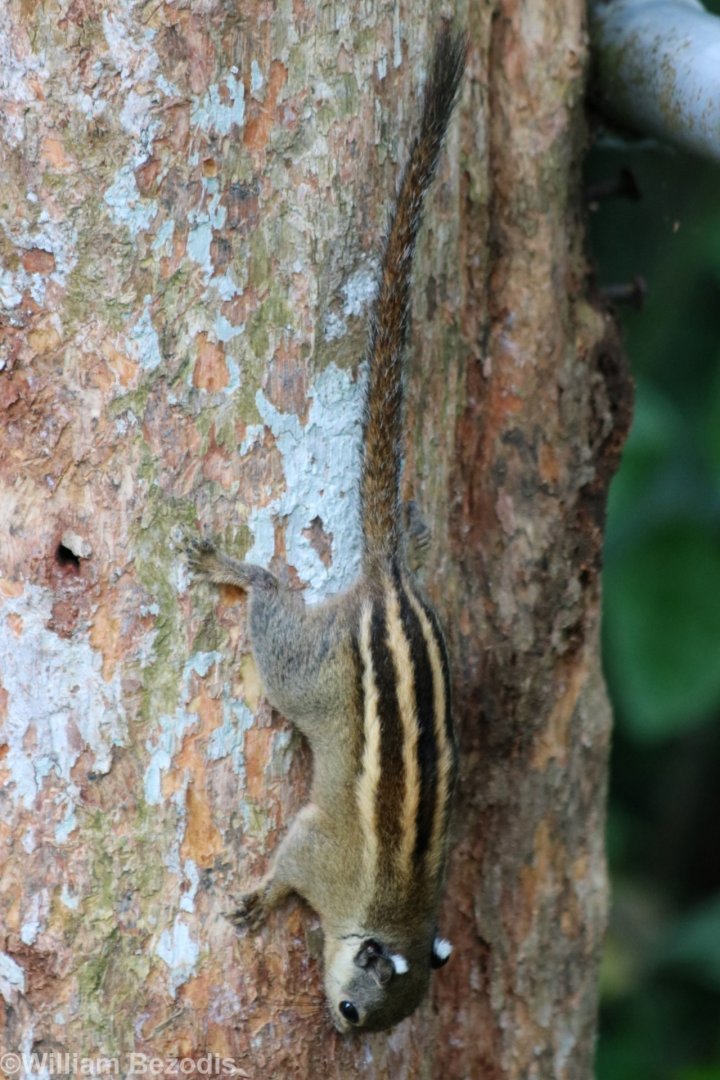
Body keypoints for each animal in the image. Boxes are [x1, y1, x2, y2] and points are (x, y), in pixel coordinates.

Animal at [189, 28, 465, 1033]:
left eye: (384, 1020)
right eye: (355, 1010)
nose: (346, 1040)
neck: (392, 904)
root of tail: (389, 584)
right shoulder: (322, 849)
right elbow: (288, 865)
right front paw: (265, 900)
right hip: (308, 673)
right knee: (276, 615)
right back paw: (238, 571)